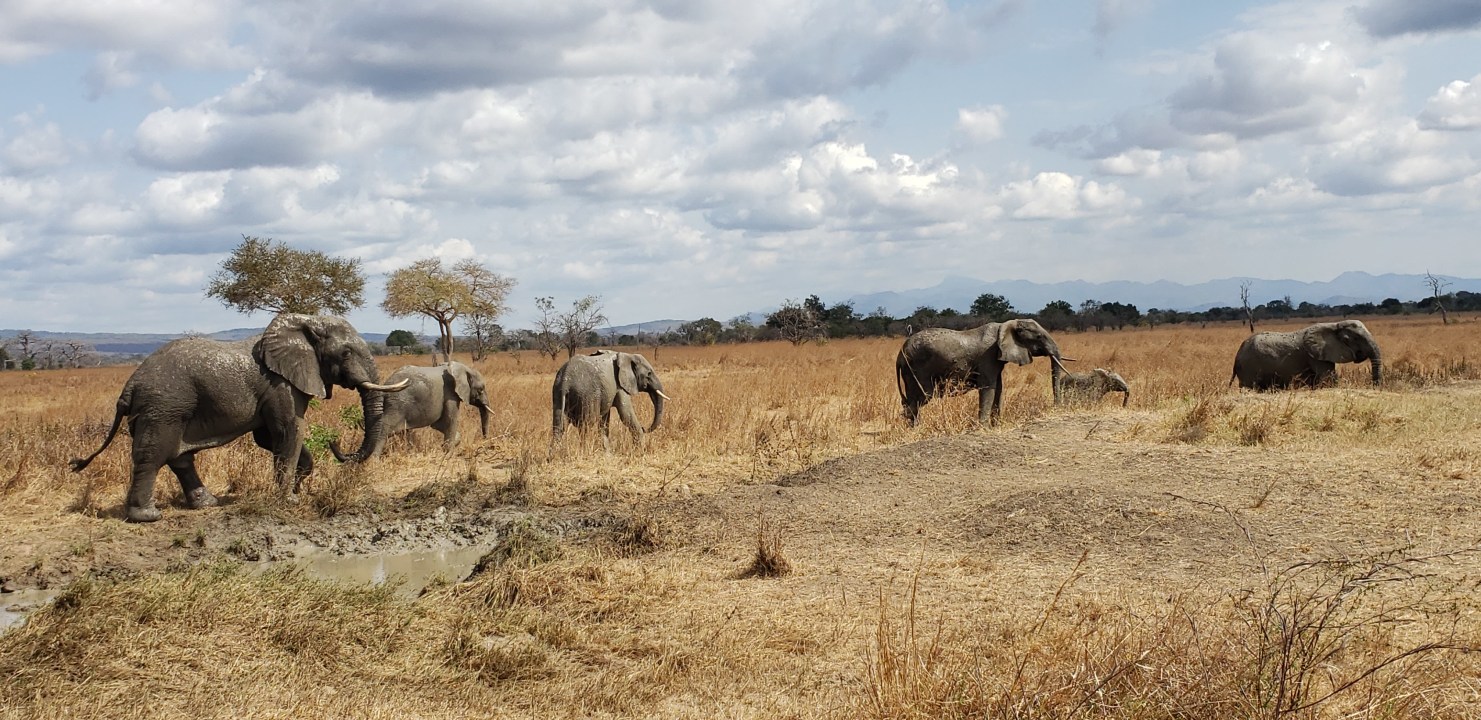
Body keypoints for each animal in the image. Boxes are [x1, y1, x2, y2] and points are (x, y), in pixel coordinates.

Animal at [69, 314, 408, 522]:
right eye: (346, 353)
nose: (336, 443)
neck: (304, 325)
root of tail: (130, 386)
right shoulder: (279, 384)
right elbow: (289, 430)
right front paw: (288, 501)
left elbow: (270, 438)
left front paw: (297, 487)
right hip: (163, 407)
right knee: (152, 456)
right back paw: (147, 517)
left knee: (180, 458)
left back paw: (207, 504)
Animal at [329, 361, 489, 460]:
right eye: (481, 390)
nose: (485, 439)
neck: (459, 366)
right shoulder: (450, 394)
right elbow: (450, 420)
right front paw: (447, 455)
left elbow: (438, 424)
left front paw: (449, 446)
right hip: (397, 405)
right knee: (383, 430)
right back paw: (372, 463)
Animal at [895, 318, 1069, 426]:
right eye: (1039, 336)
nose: (1056, 407)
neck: (1006, 324)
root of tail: (900, 354)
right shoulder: (988, 357)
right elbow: (989, 389)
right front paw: (984, 427)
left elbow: (998, 389)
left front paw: (996, 425)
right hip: (916, 369)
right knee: (921, 398)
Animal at [1230, 319, 1382, 391]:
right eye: (1351, 339)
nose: (1375, 387)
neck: (1333, 325)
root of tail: (1237, 354)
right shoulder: (1315, 356)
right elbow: (1328, 378)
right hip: (1248, 368)